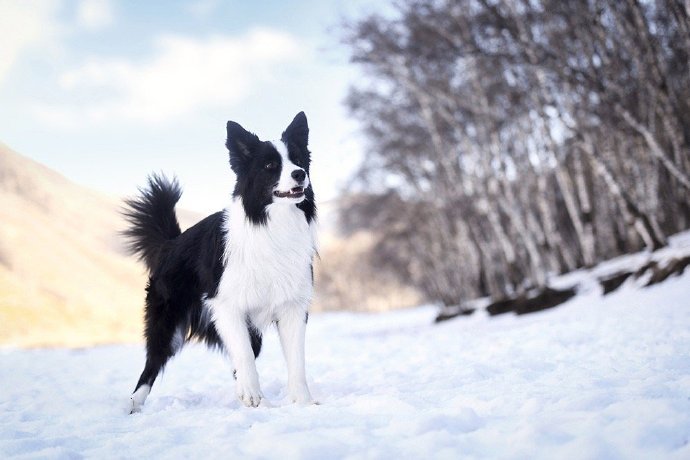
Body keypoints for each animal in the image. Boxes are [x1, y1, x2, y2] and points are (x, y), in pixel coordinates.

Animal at [124, 112, 318, 414]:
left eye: (298, 159)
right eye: (270, 165)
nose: (299, 174)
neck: (272, 225)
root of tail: (171, 243)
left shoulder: (292, 307)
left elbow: (296, 361)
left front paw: (304, 403)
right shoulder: (226, 305)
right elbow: (244, 356)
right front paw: (253, 396)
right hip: (168, 323)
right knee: (152, 364)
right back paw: (134, 404)